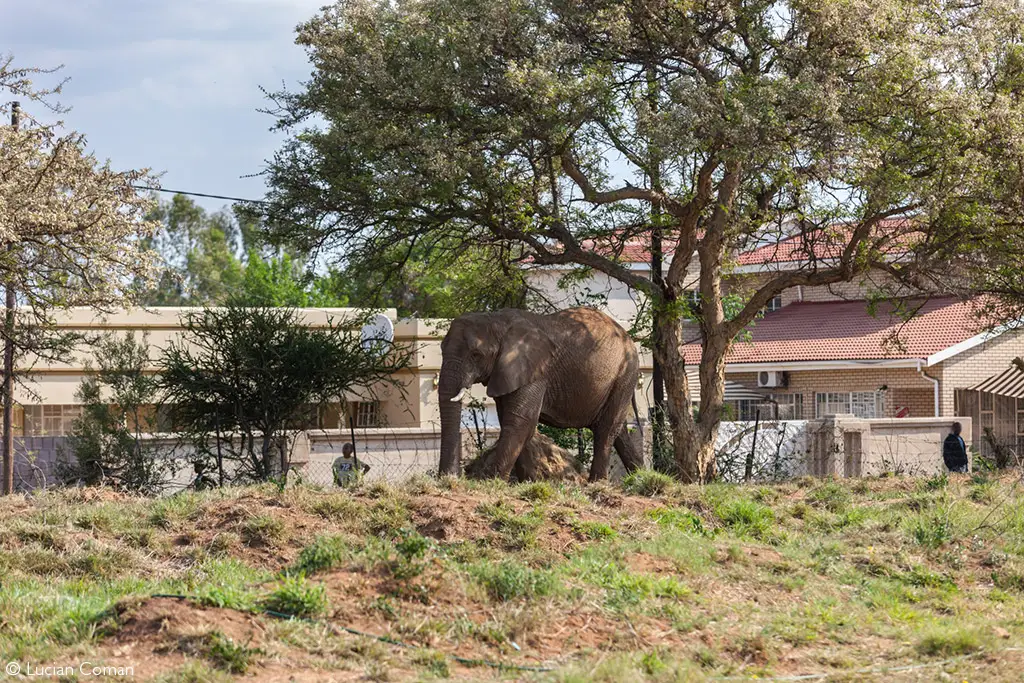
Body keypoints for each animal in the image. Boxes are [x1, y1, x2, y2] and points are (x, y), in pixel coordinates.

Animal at [437, 307, 644, 481]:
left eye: (475, 354)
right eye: (441, 349)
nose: (449, 478)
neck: (497, 320)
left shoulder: (535, 370)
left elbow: (520, 420)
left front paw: (491, 481)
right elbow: (510, 420)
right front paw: (526, 482)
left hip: (625, 374)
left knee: (606, 429)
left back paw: (597, 483)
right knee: (618, 431)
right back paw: (639, 479)